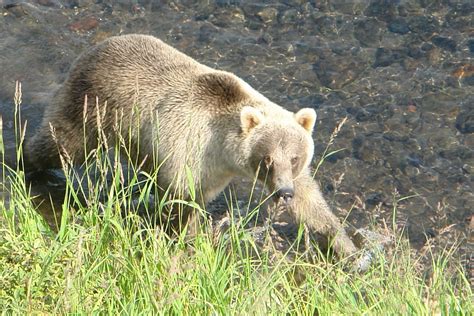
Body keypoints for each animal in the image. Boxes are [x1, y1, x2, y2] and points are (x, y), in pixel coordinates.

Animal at [22, 34, 356, 256]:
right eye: (267, 159)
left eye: (296, 158)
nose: (283, 192)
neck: (222, 154)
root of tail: (99, 45)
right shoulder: (185, 153)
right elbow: (182, 205)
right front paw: (191, 242)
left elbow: (311, 202)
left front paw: (347, 248)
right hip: (91, 106)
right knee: (60, 143)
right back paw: (26, 166)